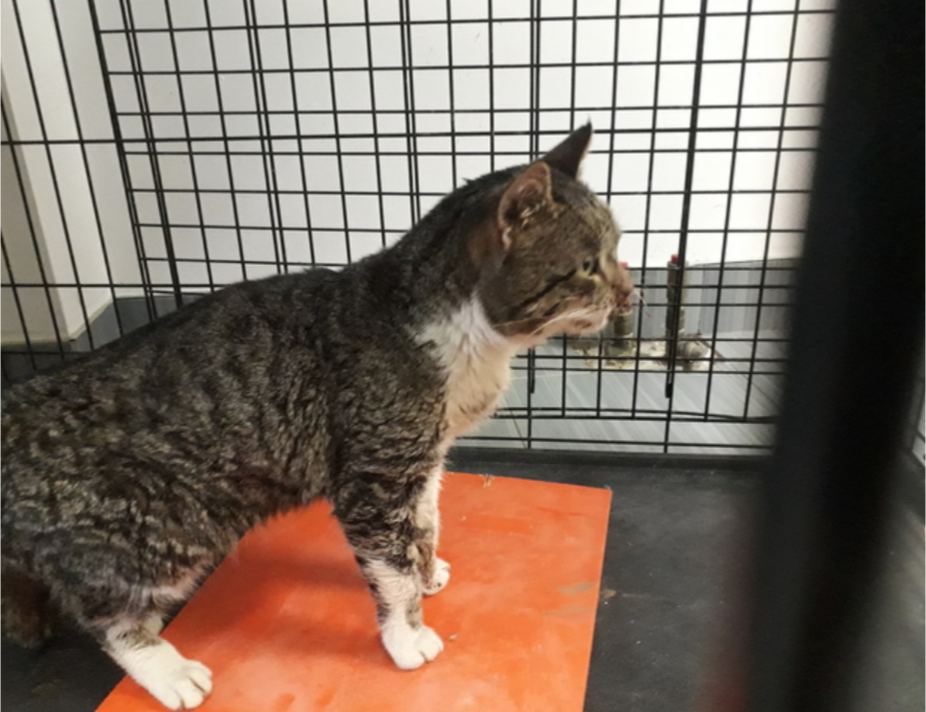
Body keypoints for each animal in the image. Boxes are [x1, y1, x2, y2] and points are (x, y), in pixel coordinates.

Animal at [0, 124, 632, 709]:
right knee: (103, 612)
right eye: (586, 265)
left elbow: (424, 524)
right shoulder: (375, 477)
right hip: (168, 524)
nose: (630, 293)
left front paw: (426, 570)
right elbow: (391, 564)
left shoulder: (421, 460)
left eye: (617, 249)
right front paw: (408, 634)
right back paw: (167, 668)